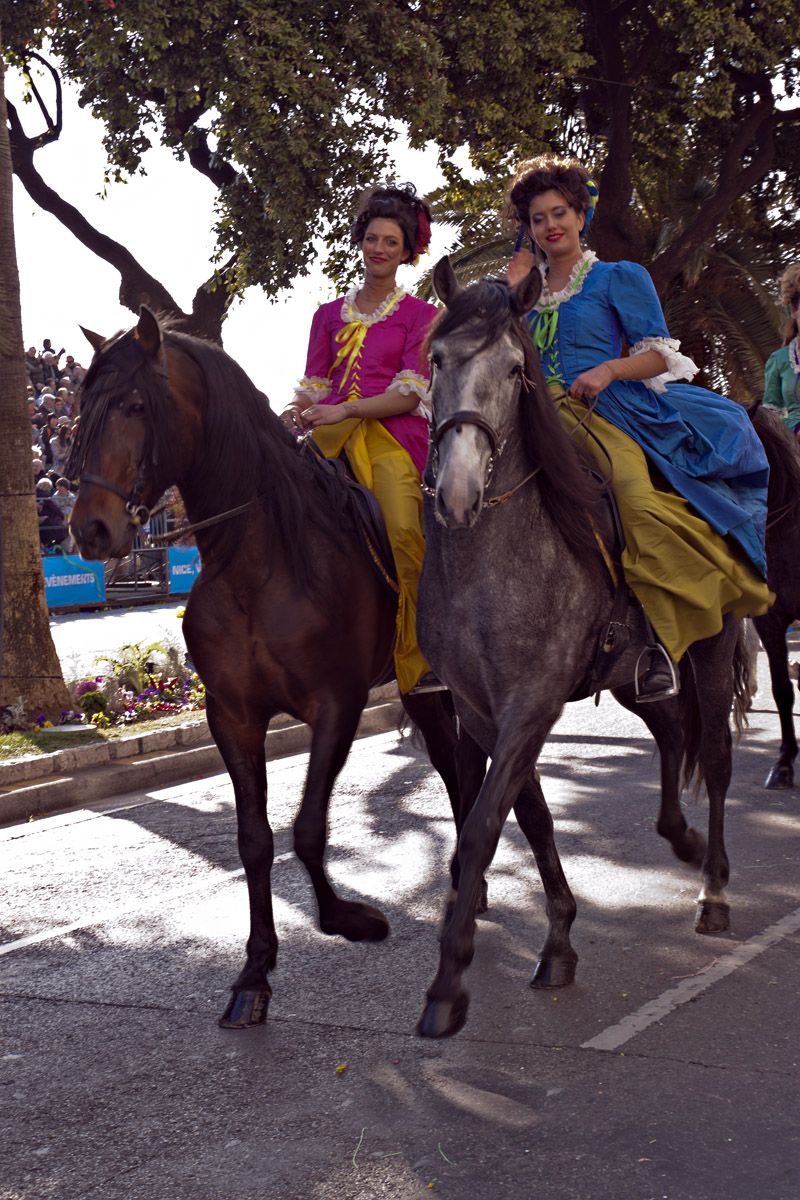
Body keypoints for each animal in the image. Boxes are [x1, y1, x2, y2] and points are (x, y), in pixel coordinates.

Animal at [68, 304, 474, 1027]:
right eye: (82, 411)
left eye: (135, 405)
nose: (90, 529)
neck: (261, 557)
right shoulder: (232, 715)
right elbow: (256, 839)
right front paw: (254, 971)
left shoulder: (336, 706)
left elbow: (308, 828)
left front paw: (347, 918)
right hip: (417, 684)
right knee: (452, 761)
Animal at [417, 262, 748, 1041]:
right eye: (436, 360)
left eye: (515, 370)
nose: (458, 491)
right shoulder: (482, 710)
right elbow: (530, 816)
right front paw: (560, 941)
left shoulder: (531, 704)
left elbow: (485, 824)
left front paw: (449, 983)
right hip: (633, 674)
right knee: (671, 731)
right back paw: (681, 840)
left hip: (711, 648)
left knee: (715, 757)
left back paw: (714, 891)